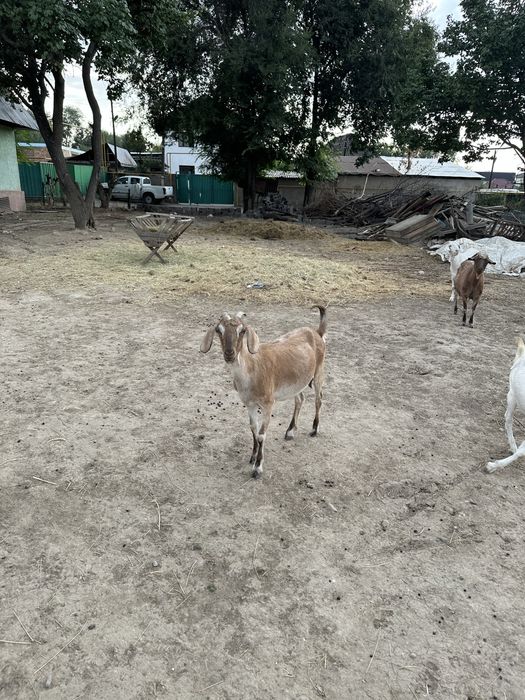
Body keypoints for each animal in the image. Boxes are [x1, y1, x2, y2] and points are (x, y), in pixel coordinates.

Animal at [200, 307, 326, 478]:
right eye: (219, 330)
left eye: (242, 330)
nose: (229, 353)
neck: (252, 369)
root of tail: (316, 332)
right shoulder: (250, 404)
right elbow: (253, 427)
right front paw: (252, 457)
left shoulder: (268, 404)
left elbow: (261, 434)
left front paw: (258, 467)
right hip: (297, 382)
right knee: (300, 399)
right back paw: (290, 432)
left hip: (319, 371)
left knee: (318, 399)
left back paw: (314, 429)